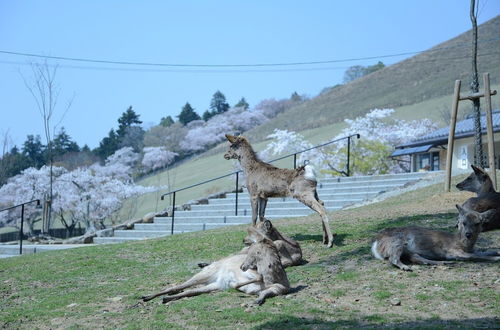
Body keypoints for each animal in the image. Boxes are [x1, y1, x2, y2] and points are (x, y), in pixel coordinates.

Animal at [372, 205, 500, 272]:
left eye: (478, 223)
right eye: (463, 222)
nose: (468, 234)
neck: (463, 244)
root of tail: (376, 243)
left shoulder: (471, 249)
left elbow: (483, 251)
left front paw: (497, 252)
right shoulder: (453, 251)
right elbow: (475, 256)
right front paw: (496, 258)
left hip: (406, 249)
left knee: (416, 257)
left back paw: (444, 263)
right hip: (396, 242)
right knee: (393, 258)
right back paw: (406, 267)